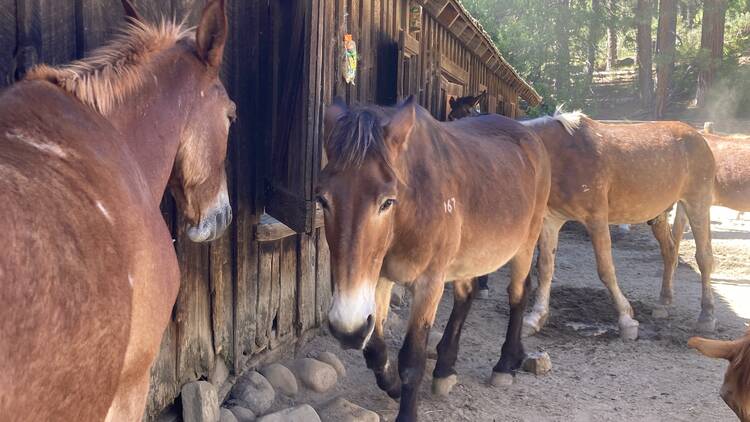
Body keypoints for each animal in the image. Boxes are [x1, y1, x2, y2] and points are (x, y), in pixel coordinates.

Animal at [318, 96, 552, 422]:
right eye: (323, 200)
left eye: (387, 202)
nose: (346, 330)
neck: (413, 207)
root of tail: (529, 135)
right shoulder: (379, 278)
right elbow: (375, 349)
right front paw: (392, 385)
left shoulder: (428, 283)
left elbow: (411, 359)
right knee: (466, 296)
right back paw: (446, 368)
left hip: (525, 244)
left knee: (518, 294)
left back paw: (506, 364)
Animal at [520, 109, 720, 340]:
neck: (557, 155)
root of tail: (698, 136)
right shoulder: (550, 221)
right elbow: (544, 268)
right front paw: (535, 318)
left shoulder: (596, 219)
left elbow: (606, 270)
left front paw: (626, 319)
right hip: (660, 214)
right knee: (670, 252)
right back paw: (663, 303)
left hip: (697, 204)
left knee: (704, 258)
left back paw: (707, 316)